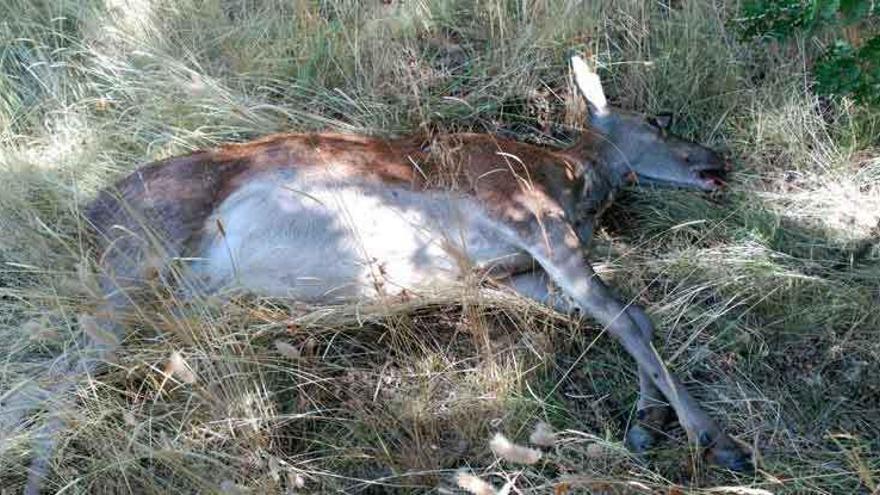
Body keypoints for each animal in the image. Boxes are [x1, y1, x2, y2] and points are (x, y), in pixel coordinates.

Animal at [6, 56, 748, 494]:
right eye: (658, 120)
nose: (720, 160)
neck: (570, 180)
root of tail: (91, 210)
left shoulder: (516, 272)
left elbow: (617, 317)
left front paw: (647, 424)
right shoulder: (527, 216)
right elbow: (626, 314)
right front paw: (718, 441)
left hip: (155, 293)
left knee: (41, 376)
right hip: (133, 266)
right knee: (59, 377)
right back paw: (38, 473)